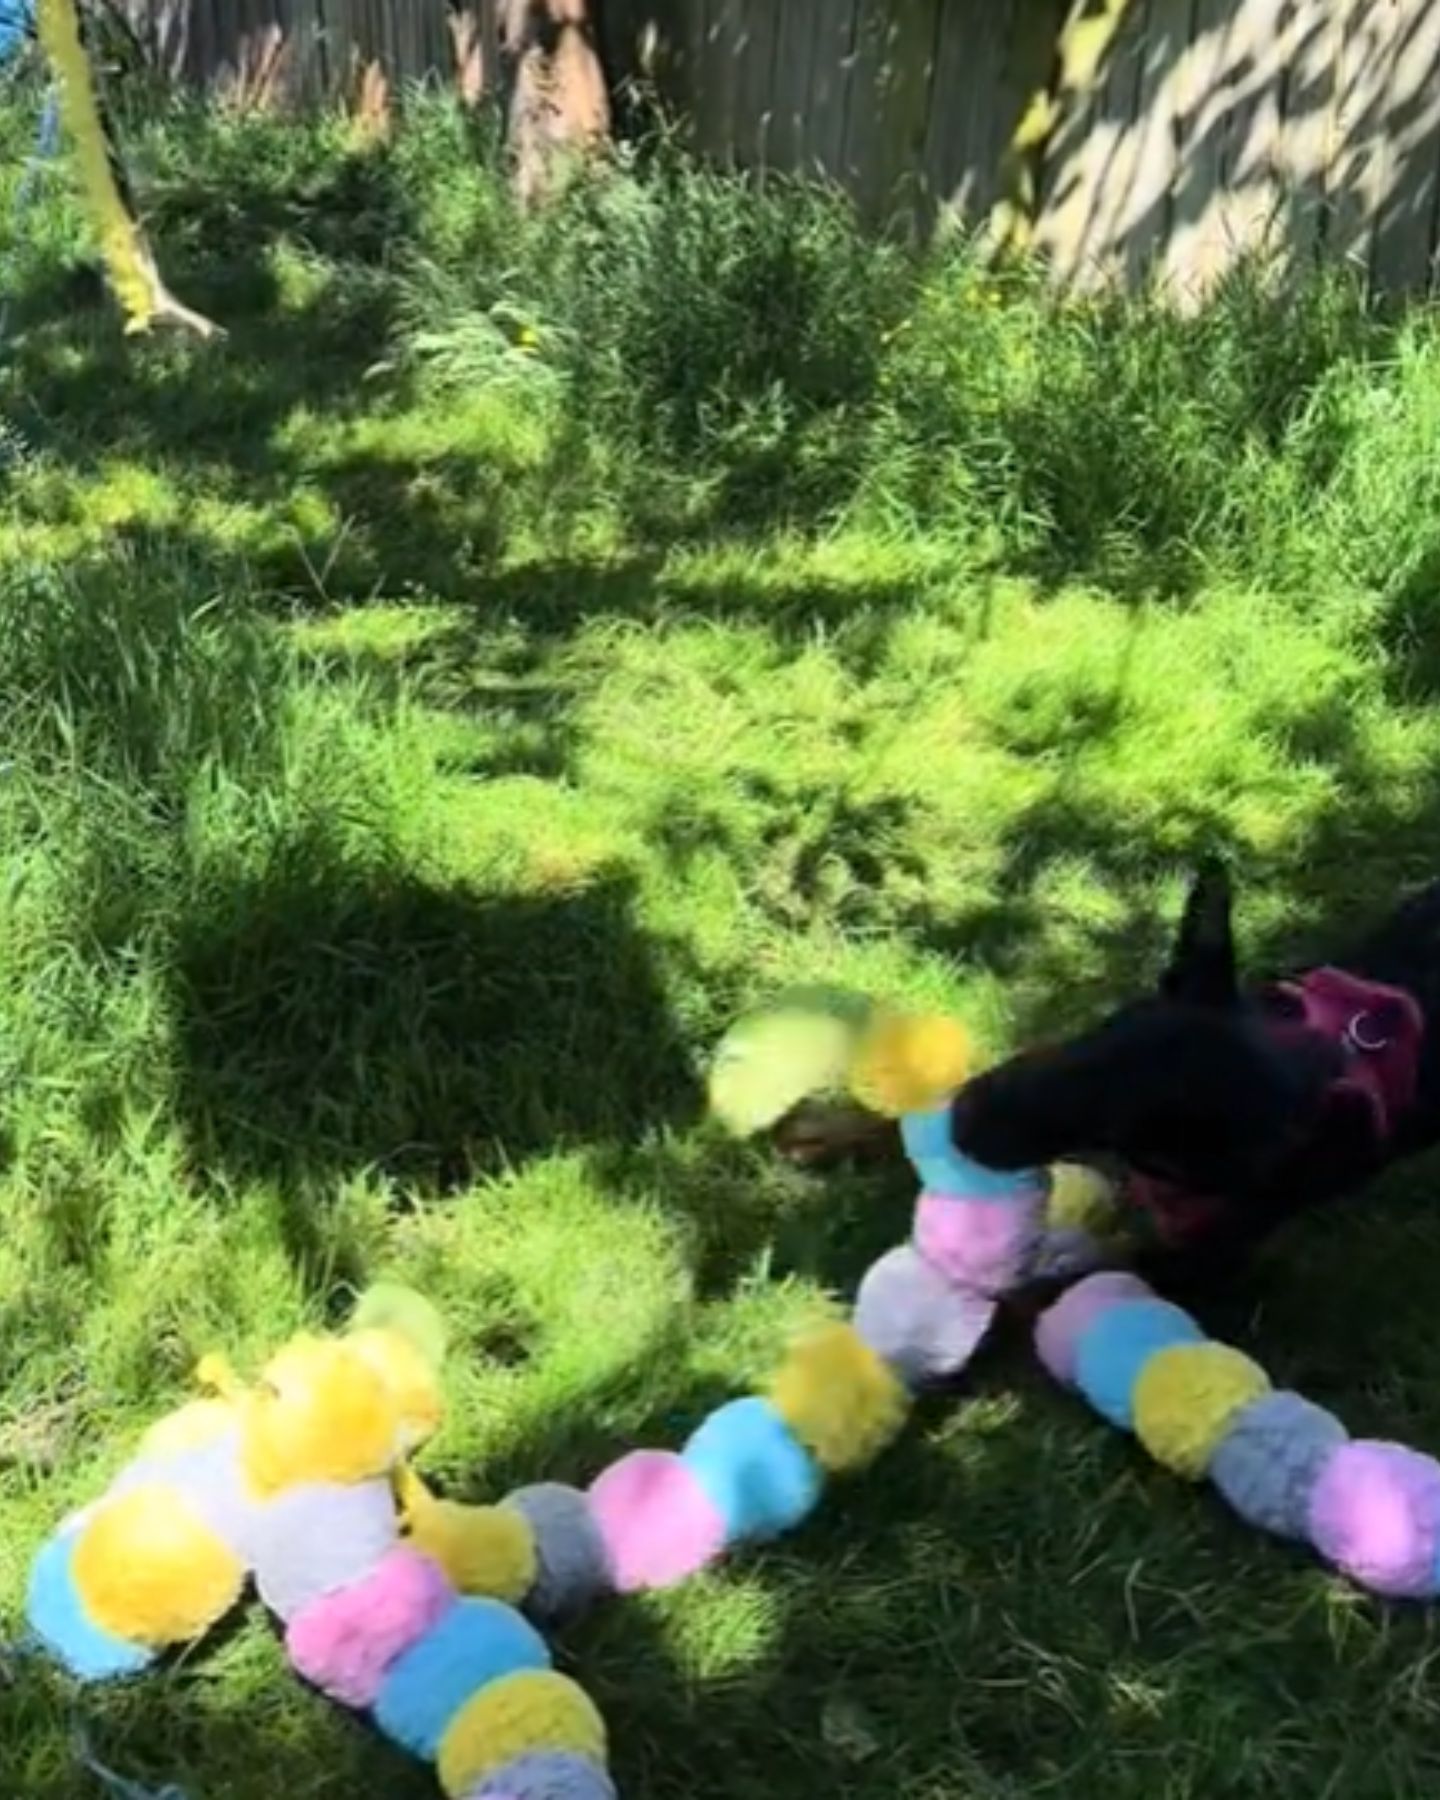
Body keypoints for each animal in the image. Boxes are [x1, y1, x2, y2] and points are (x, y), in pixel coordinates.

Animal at [781, 867, 1440, 1296]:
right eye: (1101, 1034)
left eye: (1126, 1122)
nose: (964, 1119)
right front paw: (834, 1131)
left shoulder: (1193, 1266)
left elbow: (1048, 1294)